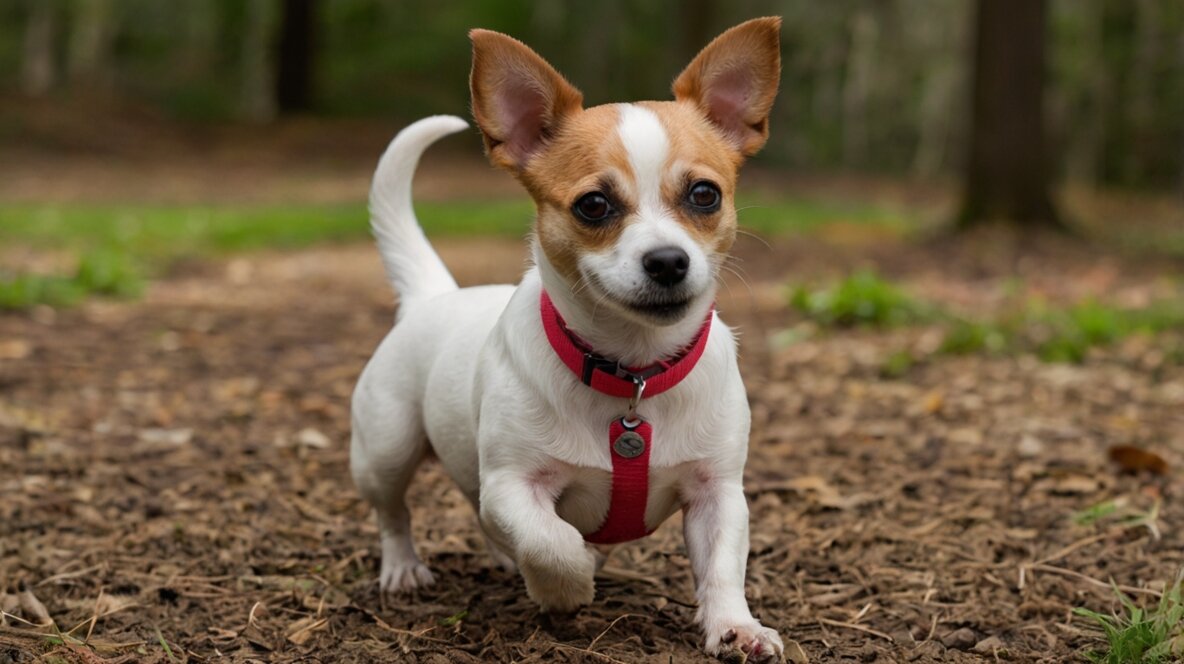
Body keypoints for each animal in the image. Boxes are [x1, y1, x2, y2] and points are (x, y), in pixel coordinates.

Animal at [350, 18, 786, 658]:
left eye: (705, 194)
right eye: (594, 204)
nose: (668, 261)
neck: (632, 377)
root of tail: (433, 295)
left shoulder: (718, 494)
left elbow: (723, 566)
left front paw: (736, 626)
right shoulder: (512, 485)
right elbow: (550, 540)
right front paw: (568, 585)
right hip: (385, 450)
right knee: (394, 513)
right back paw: (404, 567)